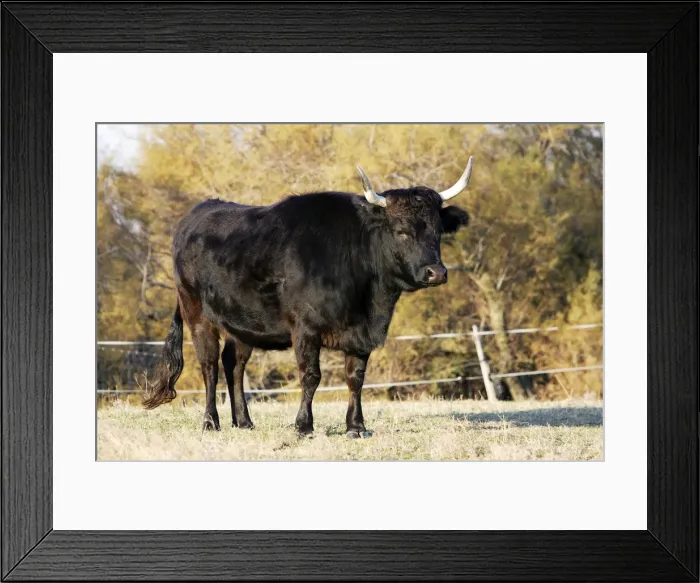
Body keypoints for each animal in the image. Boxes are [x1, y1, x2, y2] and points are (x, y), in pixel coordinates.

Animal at [143, 157, 473, 438]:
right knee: (209, 365)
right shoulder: (305, 328)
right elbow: (311, 375)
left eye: (438, 231)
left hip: (241, 323)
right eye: (401, 230)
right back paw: (211, 423)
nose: (436, 272)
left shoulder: (360, 334)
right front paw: (304, 426)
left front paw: (356, 426)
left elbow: (356, 377)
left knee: (234, 364)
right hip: (197, 314)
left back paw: (244, 422)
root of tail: (195, 216)